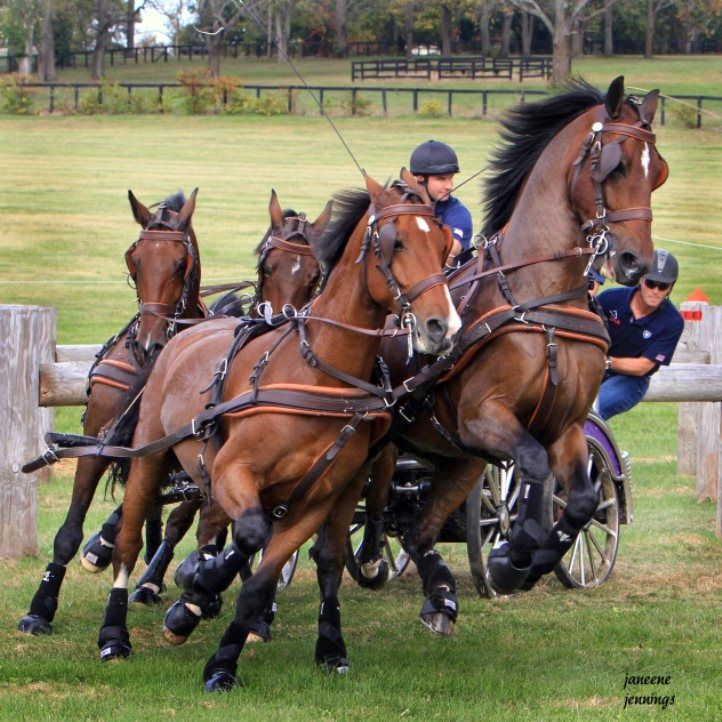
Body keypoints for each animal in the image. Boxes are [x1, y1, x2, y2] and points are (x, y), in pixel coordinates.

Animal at [17, 188, 202, 632]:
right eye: (135, 259)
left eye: (181, 263)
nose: (150, 344)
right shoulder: (98, 439)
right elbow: (68, 531)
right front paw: (40, 607)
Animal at [93, 170, 458, 692]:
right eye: (396, 243)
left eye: (445, 243)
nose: (440, 325)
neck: (318, 374)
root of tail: (184, 332)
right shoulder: (233, 471)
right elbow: (248, 533)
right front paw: (196, 592)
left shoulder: (315, 499)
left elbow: (263, 575)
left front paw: (222, 659)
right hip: (149, 458)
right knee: (128, 540)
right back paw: (114, 632)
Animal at [346, 77, 668, 632]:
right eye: (615, 165)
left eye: (657, 172)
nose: (635, 261)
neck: (539, 299)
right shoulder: (484, 418)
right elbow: (533, 467)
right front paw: (511, 554)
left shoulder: (565, 426)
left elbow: (579, 498)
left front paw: (526, 559)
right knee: (374, 492)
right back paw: (366, 558)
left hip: (455, 457)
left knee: (418, 524)